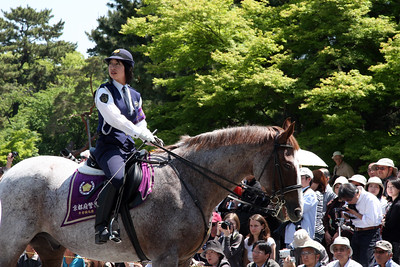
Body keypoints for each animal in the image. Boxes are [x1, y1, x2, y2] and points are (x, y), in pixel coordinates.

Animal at [0, 122, 300, 267]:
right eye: (287, 165)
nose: (295, 211)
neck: (188, 181)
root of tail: (8, 174)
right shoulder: (165, 258)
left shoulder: (183, 259)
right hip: (11, 247)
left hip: (49, 247)